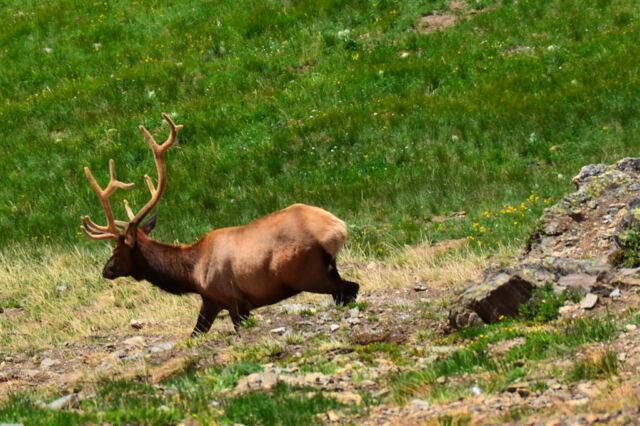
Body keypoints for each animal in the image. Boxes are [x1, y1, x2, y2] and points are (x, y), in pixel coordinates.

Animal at [81, 113, 359, 337]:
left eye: (117, 250)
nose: (106, 269)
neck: (192, 274)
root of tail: (338, 229)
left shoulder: (233, 300)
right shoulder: (211, 301)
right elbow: (196, 332)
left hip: (307, 272)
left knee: (350, 289)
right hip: (326, 269)